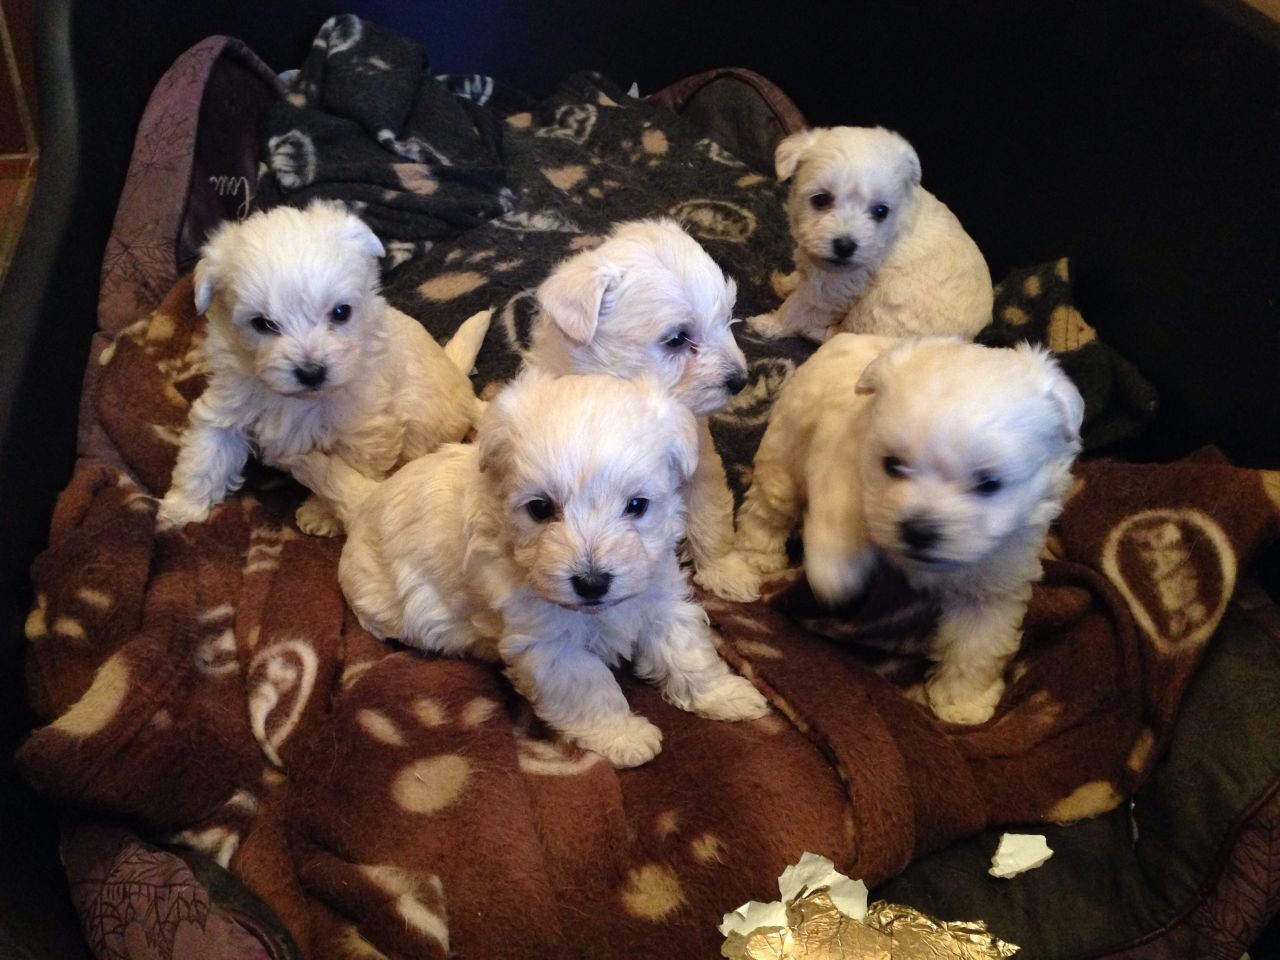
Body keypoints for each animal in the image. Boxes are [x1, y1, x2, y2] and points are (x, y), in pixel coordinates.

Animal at [154, 199, 483, 537]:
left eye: (341, 312)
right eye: (263, 323)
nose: (311, 372)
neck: (300, 400)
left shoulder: (364, 433)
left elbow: (343, 476)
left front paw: (322, 514)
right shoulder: (229, 404)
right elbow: (205, 454)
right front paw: (180, 509)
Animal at [313, 371, 762, 773]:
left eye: (637, 505)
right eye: (540, 508)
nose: (592, 582)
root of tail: (366, 500)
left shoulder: (660, 595)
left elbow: (688, 650)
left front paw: (726, 695)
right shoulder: (549, 646)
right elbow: (591, 687)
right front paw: (625, 736)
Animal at [527, 221, 762, 604]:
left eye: (726, 319)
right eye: (678, 339)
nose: (740, 380)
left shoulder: (701, 468)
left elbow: (710, 517)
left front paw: (727, 571)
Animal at [737, 335, 1085, 727]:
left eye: (989, 484)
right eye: (893, 465)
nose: (918, 530)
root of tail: (847, 337)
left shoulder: (995, 578)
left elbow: (977, 645)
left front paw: (964, 702)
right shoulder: (843, 456)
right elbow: (840, 511)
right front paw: (834, 577)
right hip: (786, 448)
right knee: (768, 505)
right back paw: (758, 553)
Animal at [747, 128, 993, 345]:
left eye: (880, 211)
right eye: (821, 199)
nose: (845, 246)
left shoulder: (834, 287)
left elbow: (797, 307)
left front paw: (770, 324)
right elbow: (802, 276)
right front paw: (786, 283)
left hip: (877, 309)